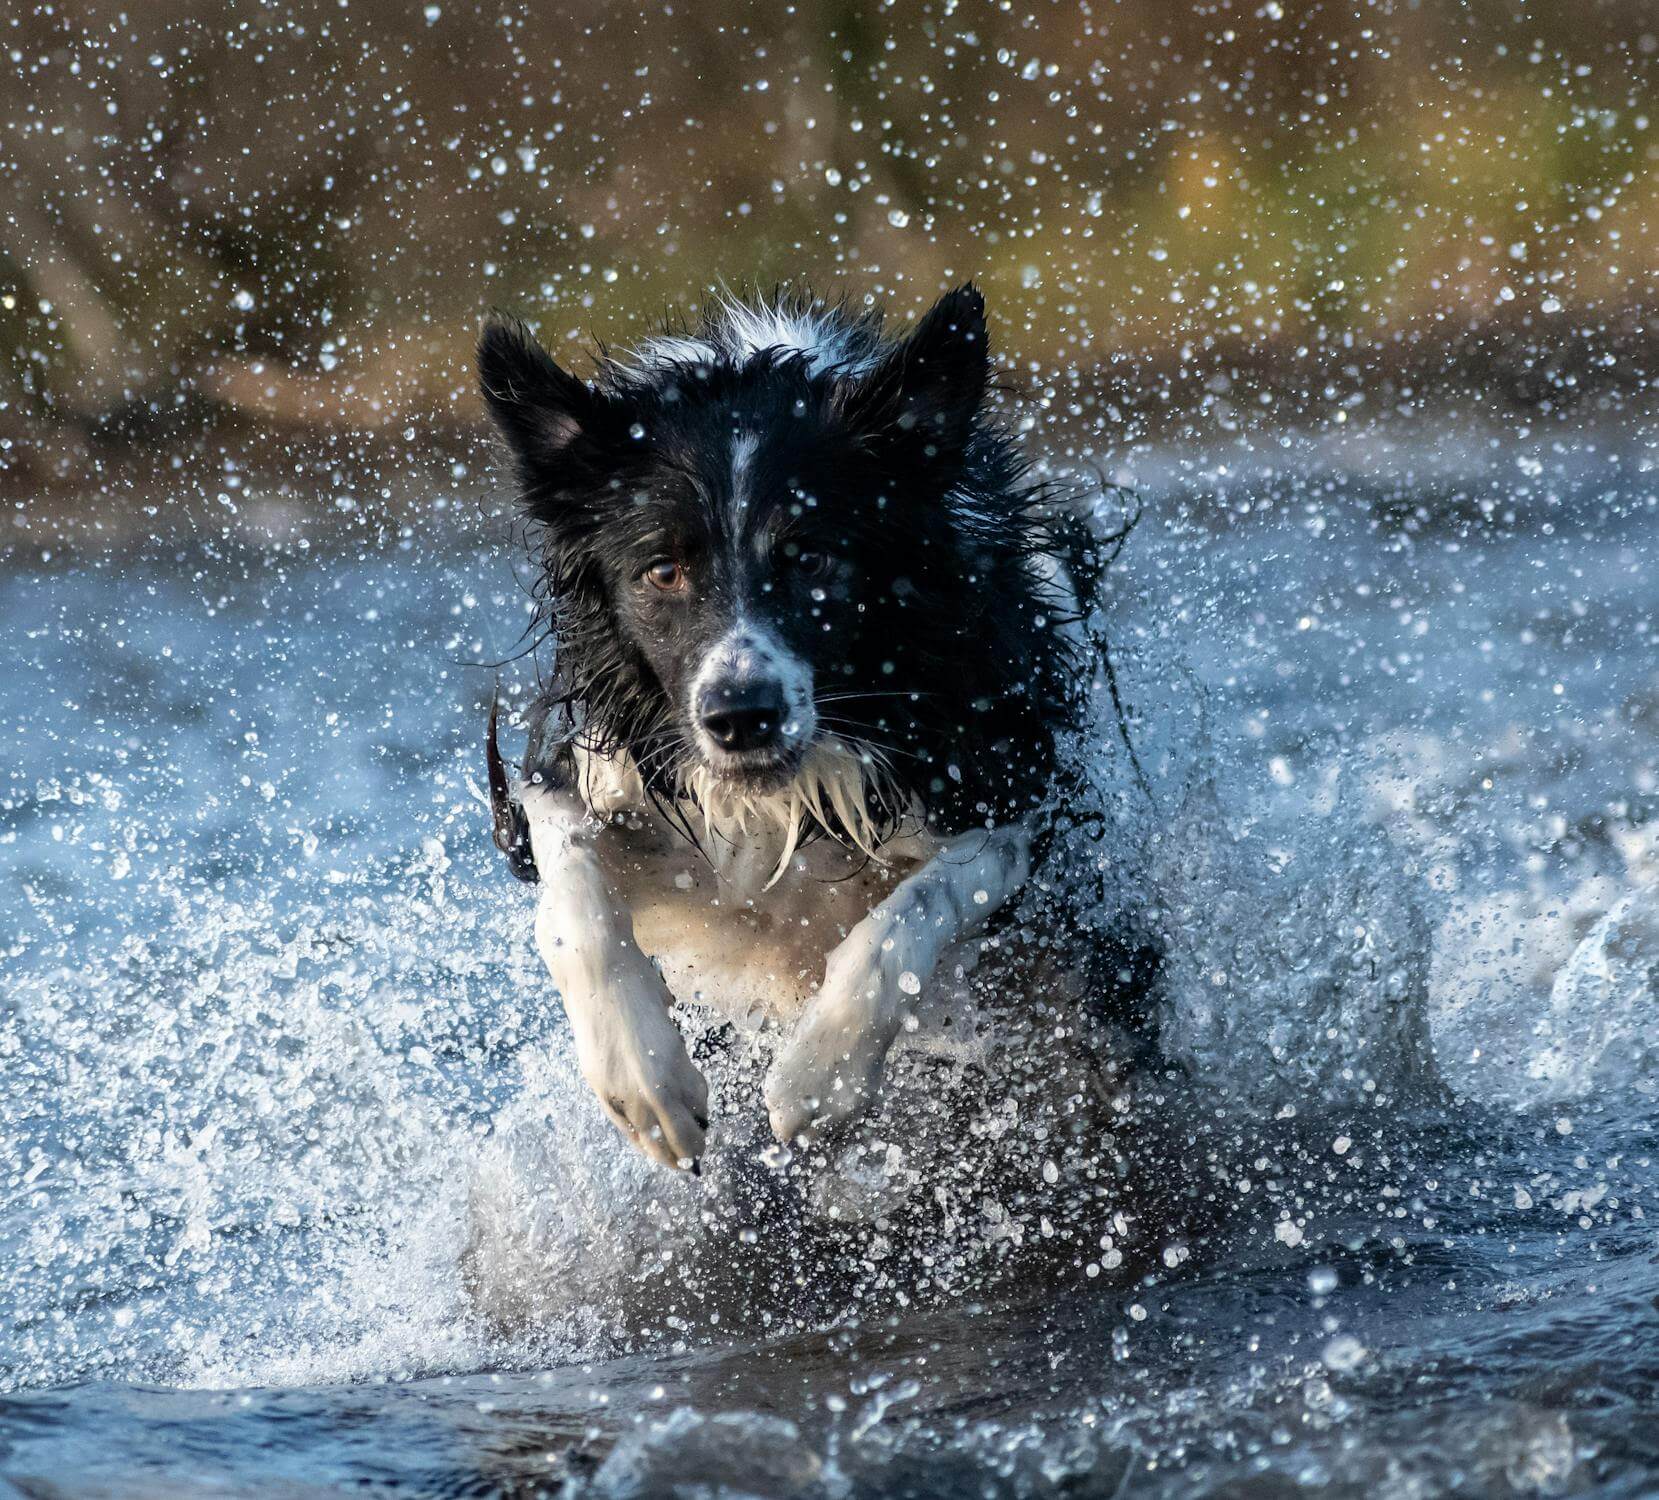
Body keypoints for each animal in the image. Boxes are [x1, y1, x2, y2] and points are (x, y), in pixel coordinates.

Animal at [474, 282, 1134, 1174]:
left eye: (812, 558)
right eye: (662, 570)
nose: (739, 717)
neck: (776, 798)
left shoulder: (1013, 786)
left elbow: (915, 909)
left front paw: (820, 1077)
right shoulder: (600, 763)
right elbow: (572, 891)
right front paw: (645, 1079)